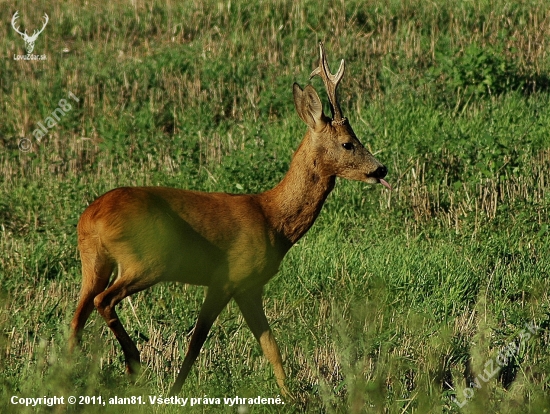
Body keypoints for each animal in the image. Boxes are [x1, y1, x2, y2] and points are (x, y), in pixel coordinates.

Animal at [70, 42, 392, 398]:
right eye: (348, 143)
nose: (380, 168)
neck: (273, 219)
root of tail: (90, 218)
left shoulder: (248, 287)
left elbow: (270, 345)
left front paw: (290, 397)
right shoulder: (229, 276)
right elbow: (197, 342)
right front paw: (174, 392)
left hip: (94, 262)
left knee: (77, 318)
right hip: (147, 259)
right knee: (103, 301)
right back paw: (132, 361)